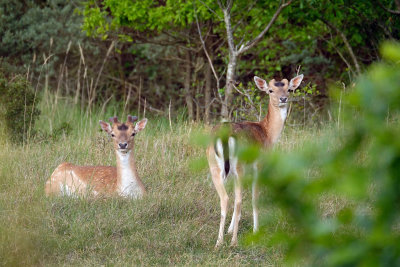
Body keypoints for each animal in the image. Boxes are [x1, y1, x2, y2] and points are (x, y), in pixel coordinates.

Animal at [206, 74, 304, 248]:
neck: (268, 134)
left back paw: (219, 242)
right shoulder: (259, 165)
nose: (283, 98)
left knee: (226, 197)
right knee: (236, 200)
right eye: (270, 90)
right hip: (238, 165)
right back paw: (233, 242)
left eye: (289, 89)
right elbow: (254, 197)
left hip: (215, 166)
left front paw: (230, 230)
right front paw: (256, 231)